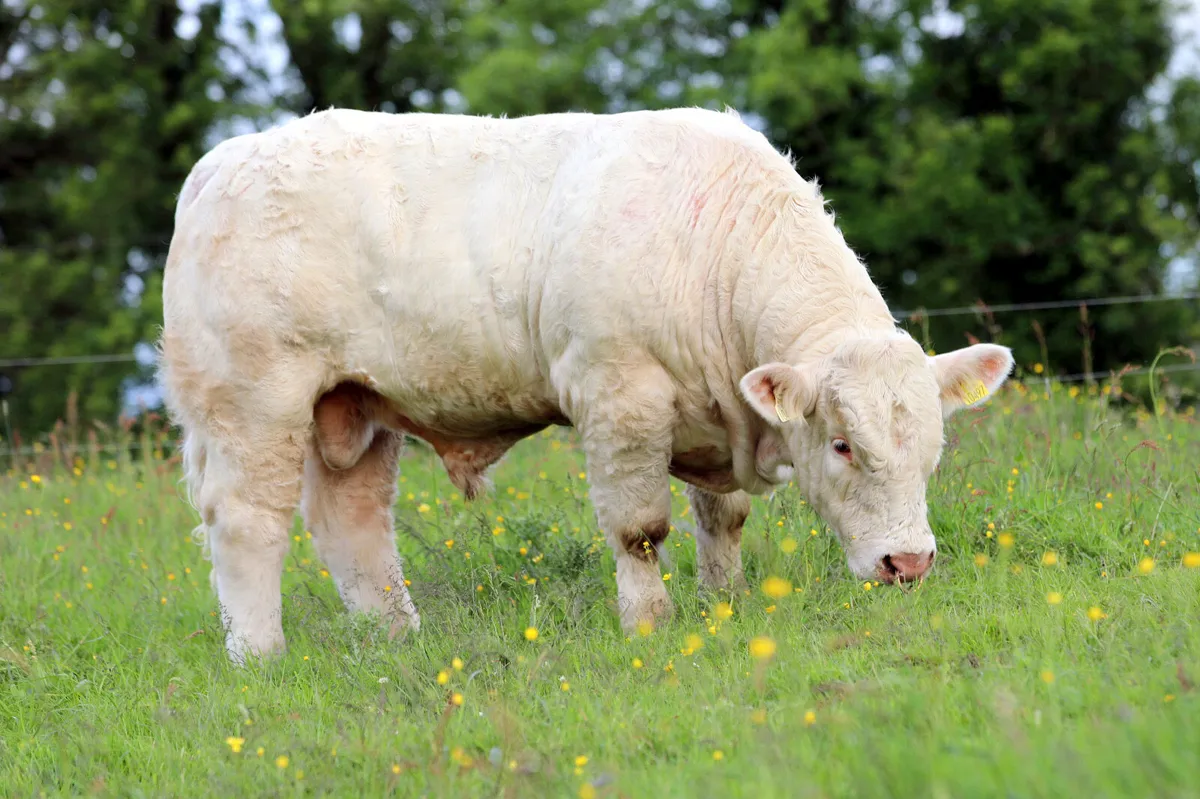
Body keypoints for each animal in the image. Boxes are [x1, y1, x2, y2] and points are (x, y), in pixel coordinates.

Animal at [157, 106, 1013, 664]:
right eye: (841, 445)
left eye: (932, 450)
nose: (908, 563)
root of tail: (221, 162)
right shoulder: (618, 396)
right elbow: (640, 527)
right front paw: (649, 622)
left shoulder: (720, 409)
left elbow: (724, 518)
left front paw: (727, 602)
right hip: (253, 402)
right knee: (247, 524)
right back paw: (261, 655)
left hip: (352, 406)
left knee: (354, 526)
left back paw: (395, 639)